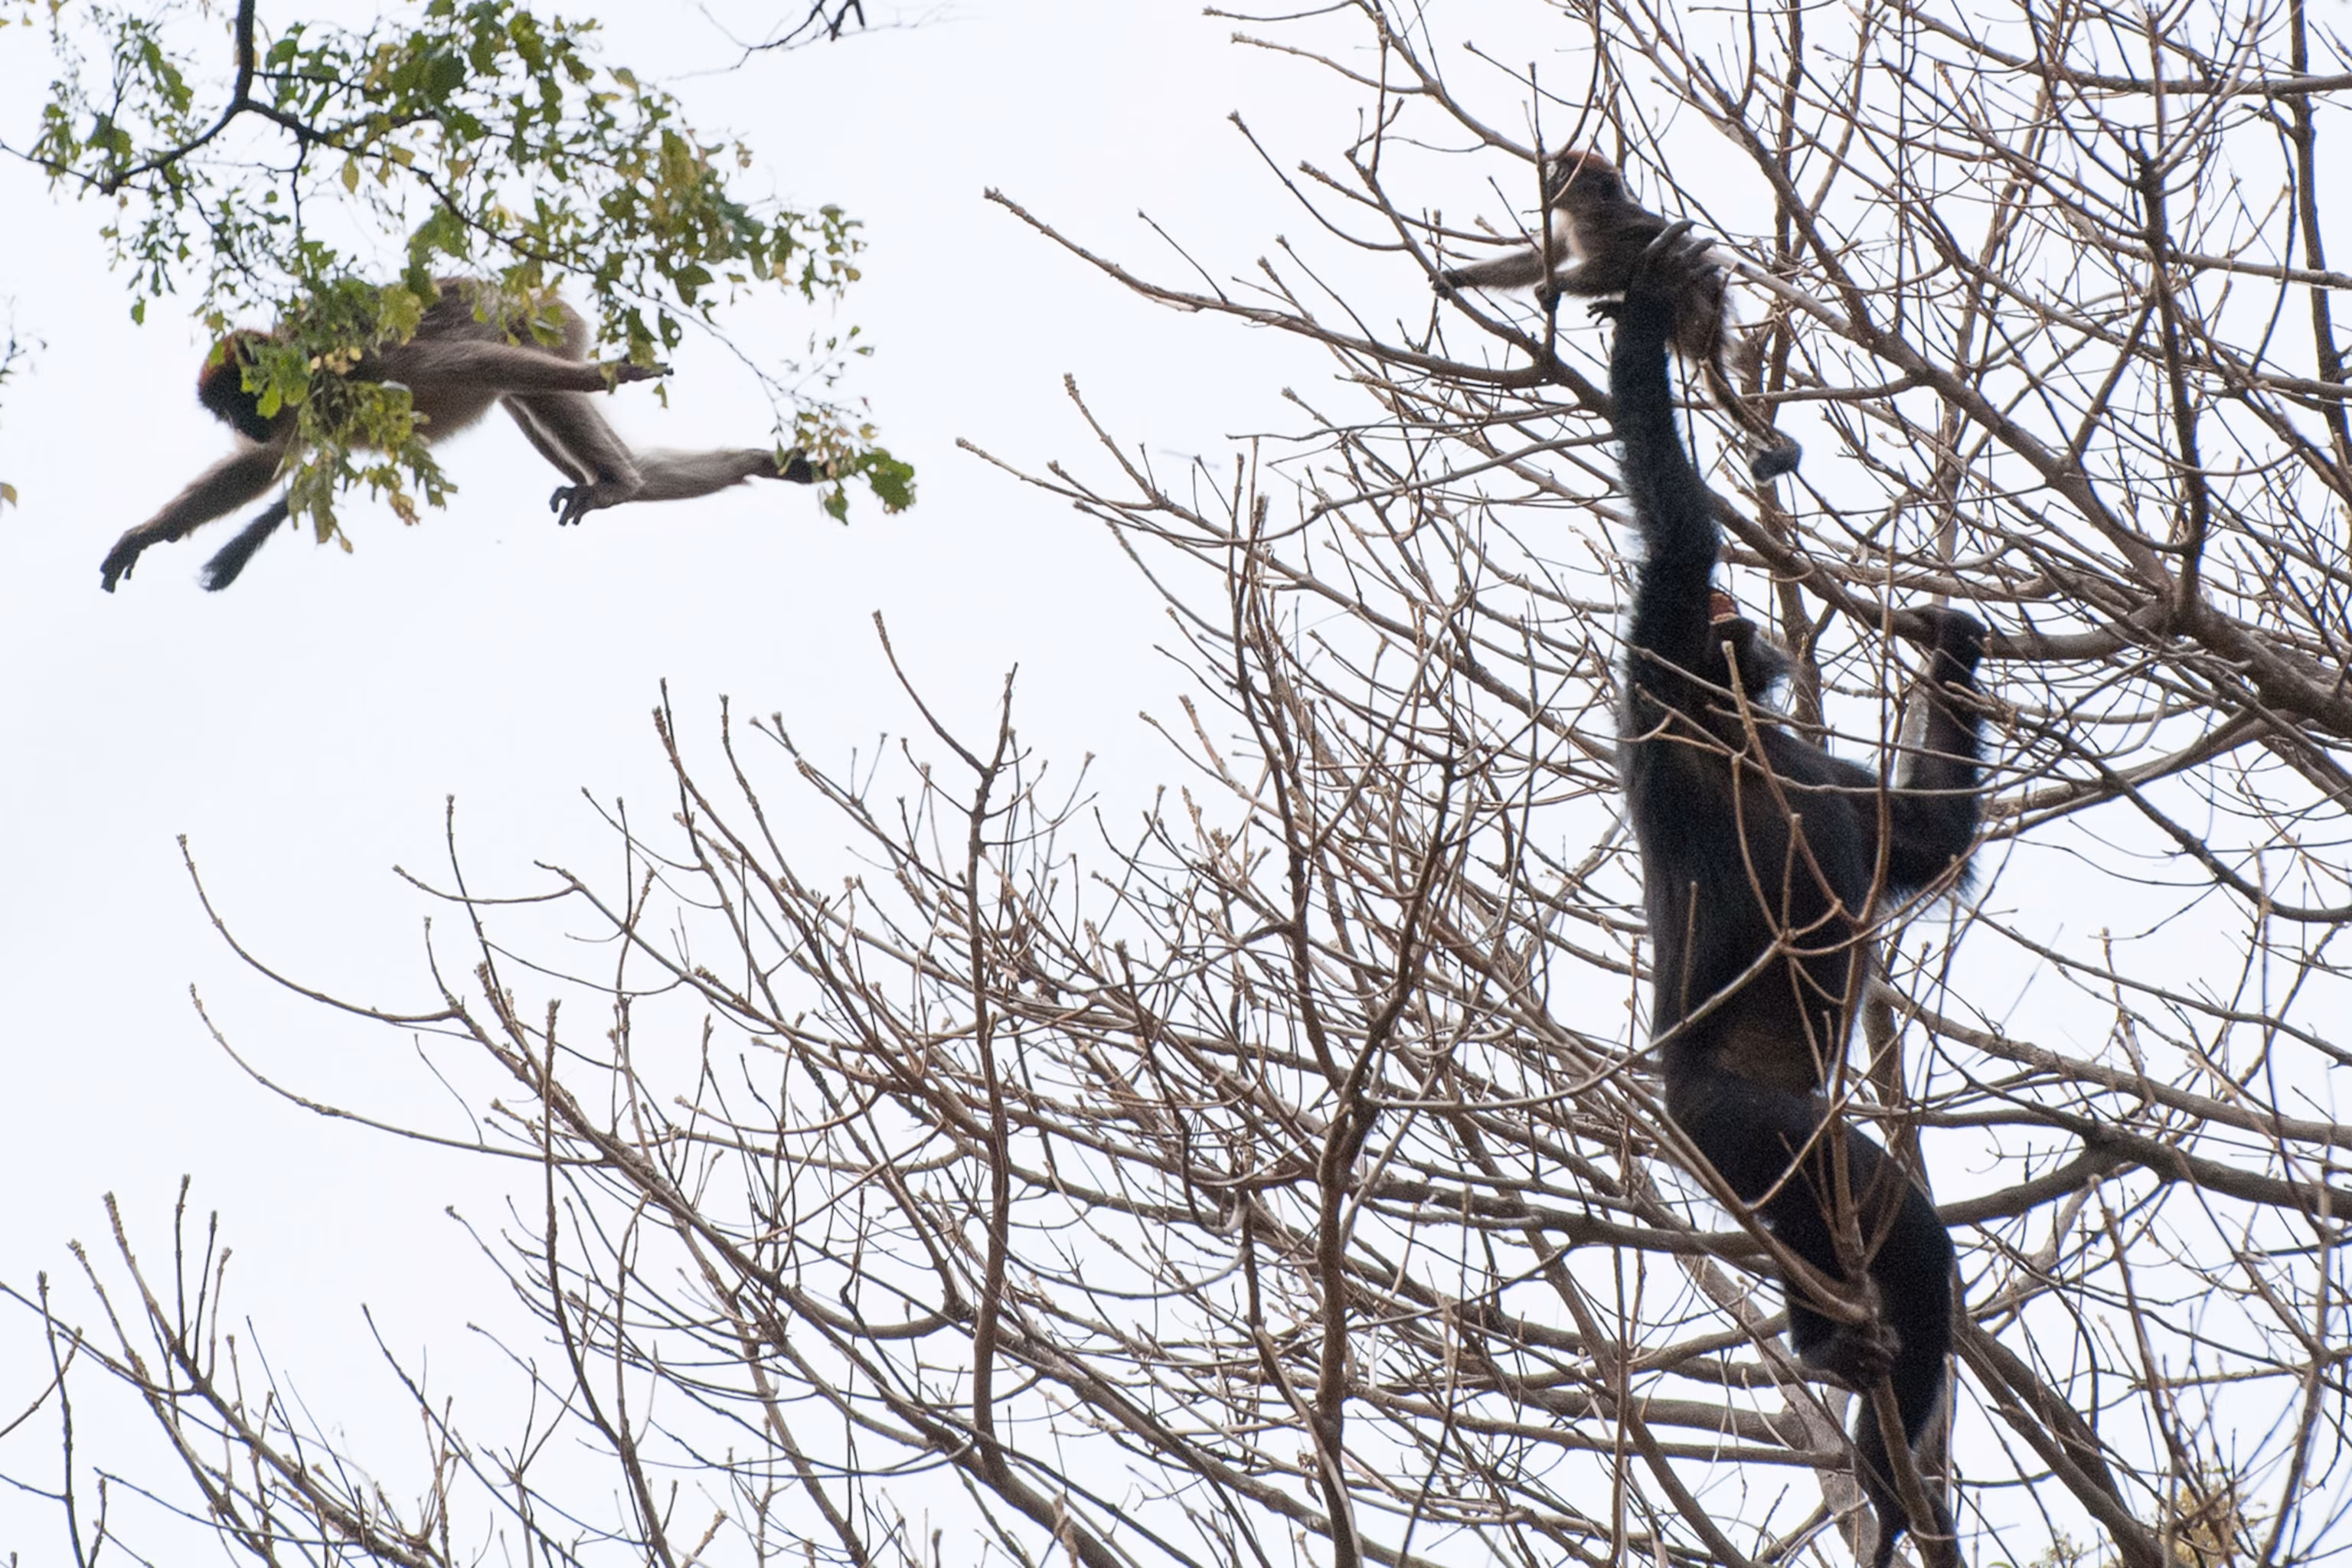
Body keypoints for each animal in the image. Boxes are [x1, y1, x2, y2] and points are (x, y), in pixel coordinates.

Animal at [101, 277, 818, 592]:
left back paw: (616, 479)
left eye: (244, 398)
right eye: (229, 413)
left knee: (525, 378)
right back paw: (724, 467)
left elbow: (462, 363)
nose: (246, 420)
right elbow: (262, 465)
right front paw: (147, 535)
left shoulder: (357, 367)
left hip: (541, 323)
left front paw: (607, 374)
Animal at [1437, 149, 1803, 483]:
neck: (1588, 209)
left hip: (1695, 308)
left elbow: (1624, 262)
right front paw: (1457, 277)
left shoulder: (1602, 225)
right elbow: (1536, 260)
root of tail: (1710, 337)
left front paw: (1551, 288)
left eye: (1562, 171)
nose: (1547, 175)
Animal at [1598, 229, 1986, 1568]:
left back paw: (1852, 1383)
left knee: (1896, 1261)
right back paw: (1882, 1458)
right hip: (1742, 1131)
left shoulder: (1824, 770)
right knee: (1908, 1236)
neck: (1735, 728)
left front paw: (1951, 638)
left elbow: (1923, 837)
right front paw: (1648, 315)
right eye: (1732, 620)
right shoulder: (1661, 665)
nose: (1759, 632)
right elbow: (1677, 535)